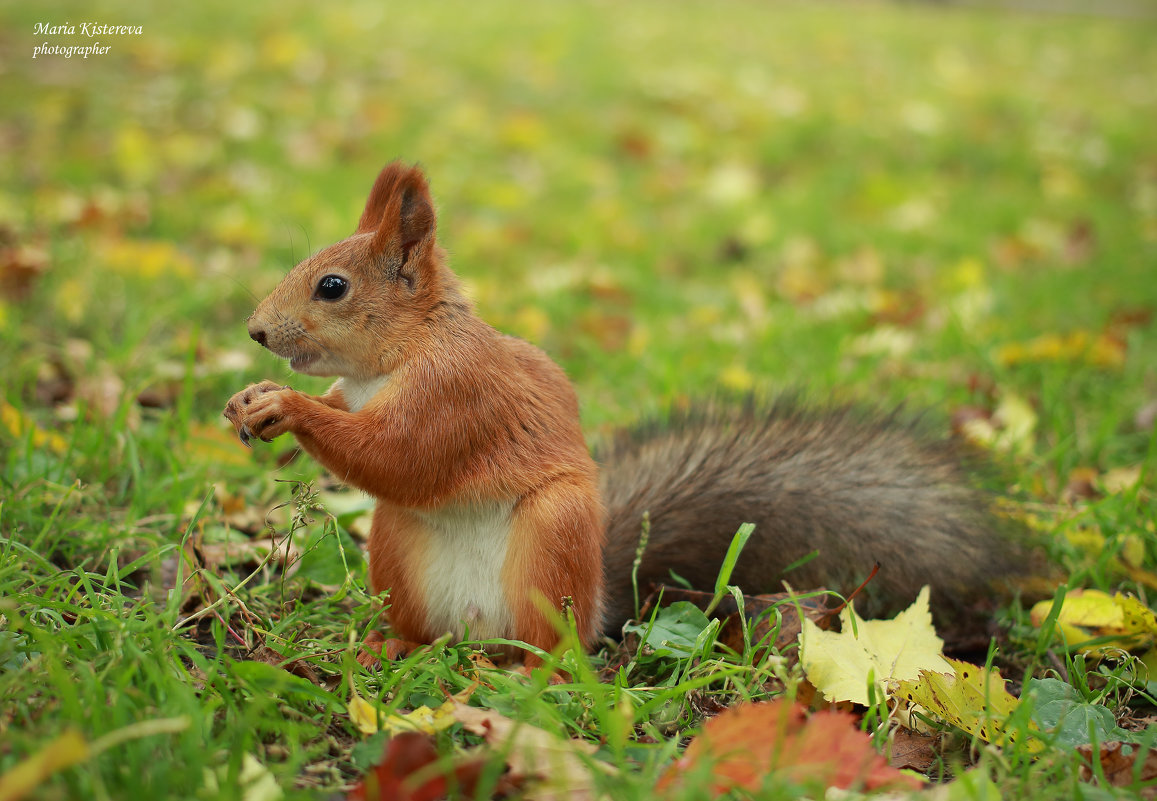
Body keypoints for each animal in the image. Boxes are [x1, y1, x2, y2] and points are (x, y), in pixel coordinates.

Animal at [220, 159, 1018, 662]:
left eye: (331, 287)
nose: (255, 331)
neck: (390, 361)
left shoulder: (457, 395)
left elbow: (398, 457)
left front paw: (288, 407)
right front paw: (250, 401)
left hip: (552, 537)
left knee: (549, 650)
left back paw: (524, 668)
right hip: (397, 546)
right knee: (427, 629)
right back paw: (397, 645)